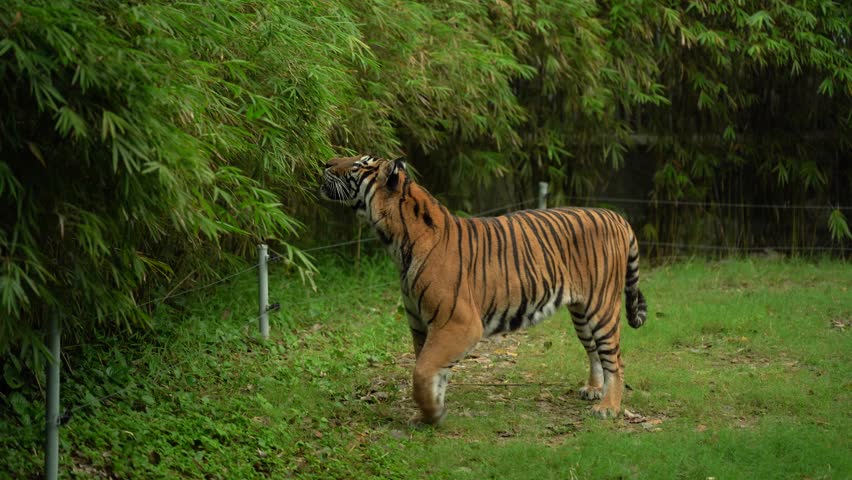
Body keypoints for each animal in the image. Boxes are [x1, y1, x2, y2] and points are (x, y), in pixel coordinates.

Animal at [320, 155, 648, 425]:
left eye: (358, 165)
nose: (325, 163)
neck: (396, 242)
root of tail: (616, 216)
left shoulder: (459, 323)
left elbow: (422, 371)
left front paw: (432, 413)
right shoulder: (420, 326)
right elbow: (430, 371)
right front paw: (429, 412)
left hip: (602, 307)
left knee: (615, 360)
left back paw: (608, 407)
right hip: (580, 310)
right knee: (594, 351)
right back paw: (593, 390)